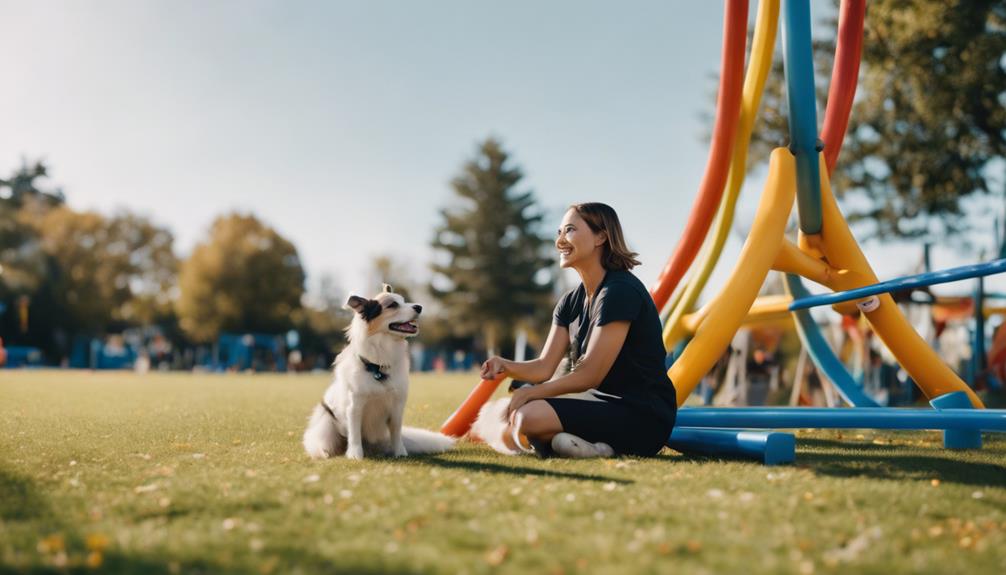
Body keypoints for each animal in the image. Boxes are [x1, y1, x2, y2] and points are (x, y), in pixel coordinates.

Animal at [299, 285, 454, 460]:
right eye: (393, 305)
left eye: (404, 300)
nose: (419, 307)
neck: (377, 367)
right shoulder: (354, 406)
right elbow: (354, 435)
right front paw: (355, 455)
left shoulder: (397, 406)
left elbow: (396, 433)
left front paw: (400, 452)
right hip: (326, 422)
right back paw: (324, 451)